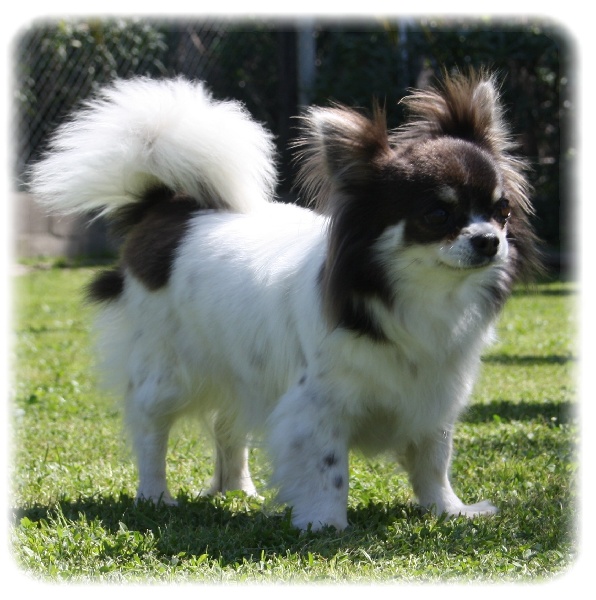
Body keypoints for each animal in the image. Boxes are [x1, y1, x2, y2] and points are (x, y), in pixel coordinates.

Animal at [30, 71, 540, 530]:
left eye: (501, 211)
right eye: (437, 215)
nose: (489, 241)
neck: (422, 296)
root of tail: (166, 206)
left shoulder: (433, 397)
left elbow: (433, 459)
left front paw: (449, 511)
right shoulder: (315, 408)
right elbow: (329, 469)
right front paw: (325, 524)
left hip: (242, 371)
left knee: (227, 426)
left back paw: (237, 491)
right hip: (166, 371)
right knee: (150, 430)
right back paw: (156, 496)